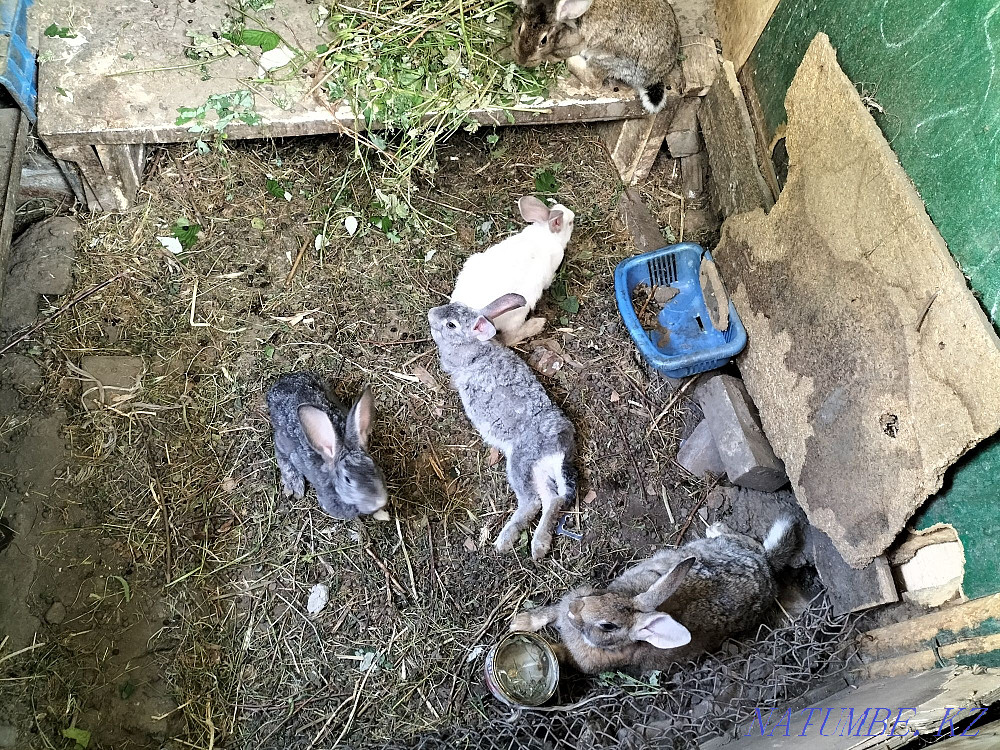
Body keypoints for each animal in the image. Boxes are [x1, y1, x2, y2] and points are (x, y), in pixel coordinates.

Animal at [266, 372, 388, 520]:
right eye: (347, 480)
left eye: (374, 467)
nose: (379, 502)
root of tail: (278, 387)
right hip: (283, 441)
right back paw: (294, 485)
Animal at [428, 293, 577, 560]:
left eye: (451, 325)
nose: (430, 314)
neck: (475, 345)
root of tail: (559, 448)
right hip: (537, 470)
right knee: (553, 500)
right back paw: (539, 545)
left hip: (519, 462)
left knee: (532, 502)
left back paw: (505, 540)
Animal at [451, 196, 575, 346]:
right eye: (570, 223)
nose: (573, 215)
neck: (546, 234)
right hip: (518, 312)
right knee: (509, 337)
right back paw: (537, 324)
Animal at [510, 517, 800, 673]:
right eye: (602, 595)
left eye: (608, 626)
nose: (574, 609)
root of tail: (765, 567)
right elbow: (546, 613)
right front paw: (519, 622)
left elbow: (559, 653)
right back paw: (716, 528)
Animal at [511, 0, 681, 113]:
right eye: (520, 29)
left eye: (543, 40)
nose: (522, 61)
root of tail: (654, 77)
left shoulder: (578, 40)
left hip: (605, 56)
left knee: (594, 80)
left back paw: (573, 61)